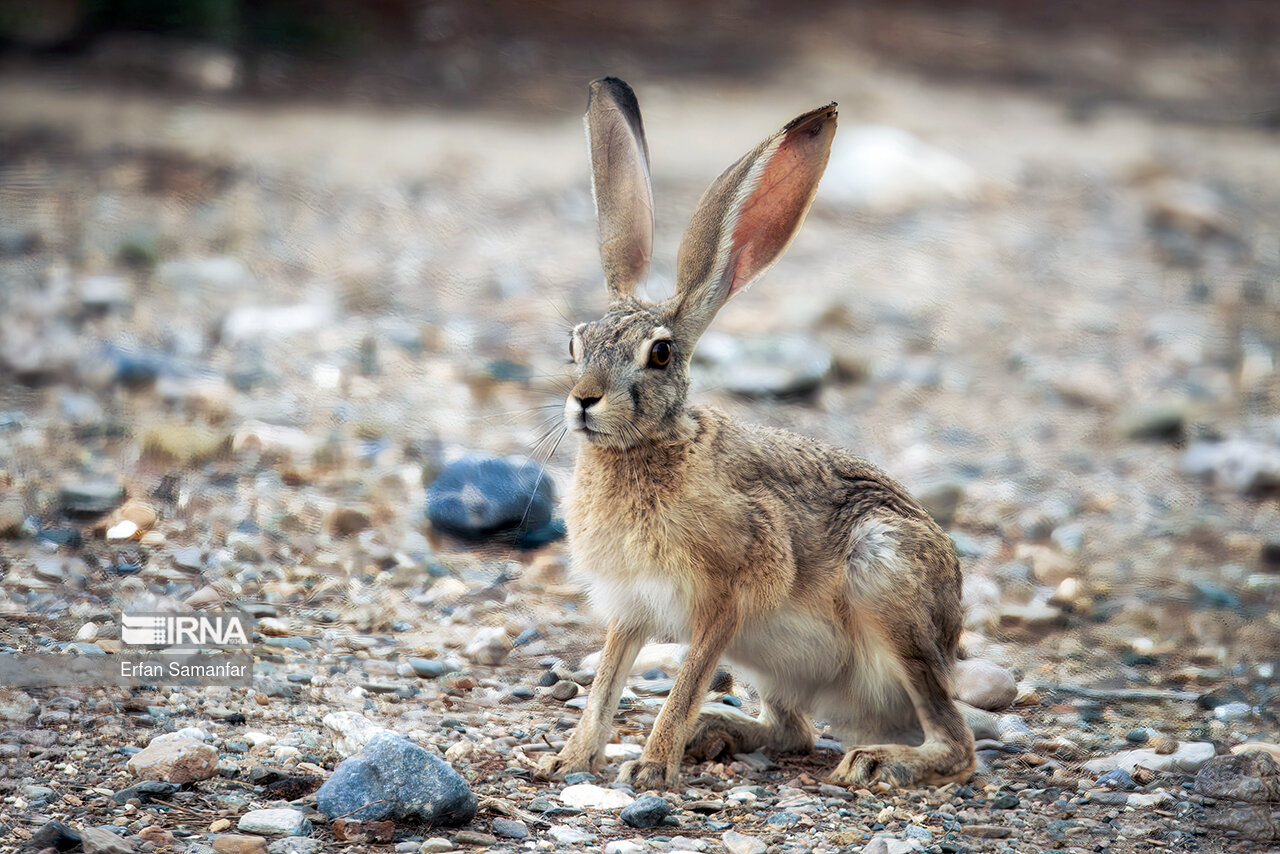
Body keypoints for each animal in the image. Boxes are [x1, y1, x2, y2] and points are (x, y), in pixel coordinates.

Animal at [535, 76, 972, 793]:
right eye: (576, 343)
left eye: (660, 355)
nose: (584, 401)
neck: (650, 449)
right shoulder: (631, 609)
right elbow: (605, 683)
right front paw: (567, 759)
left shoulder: (726, 598)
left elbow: (683, 680)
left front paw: (652, 767)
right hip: (770, 663)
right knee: (794, 732)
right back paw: (720, 732)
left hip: (886, 583)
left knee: (957, 742)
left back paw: (877, 759)